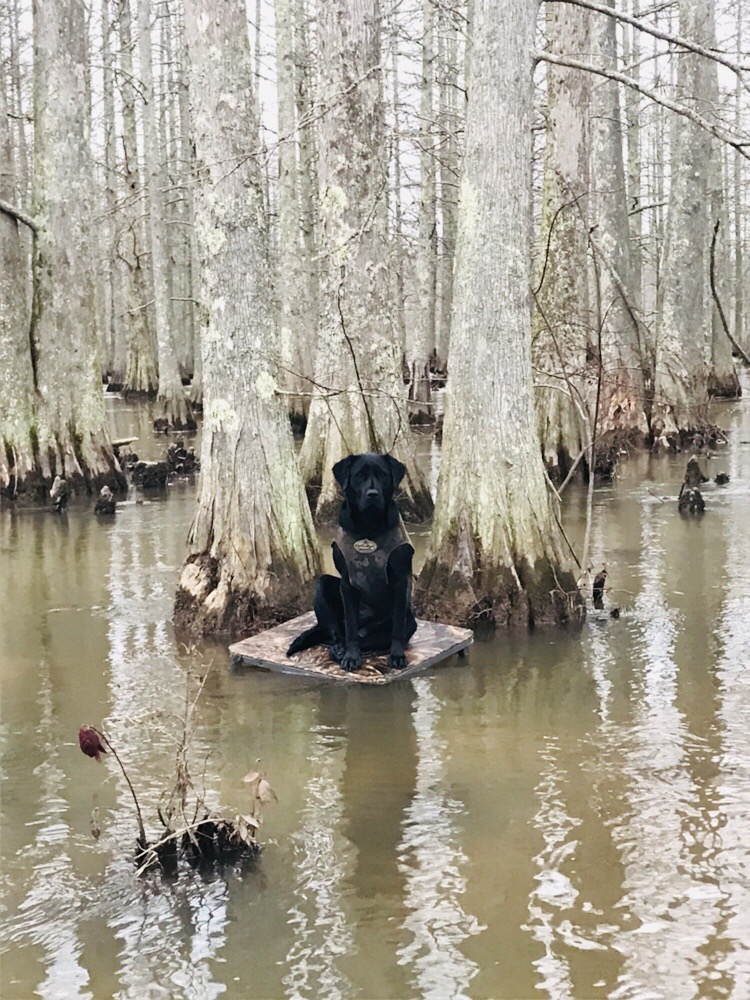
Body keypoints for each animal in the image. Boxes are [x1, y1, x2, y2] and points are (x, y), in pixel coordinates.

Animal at [286, 454, 418, 672]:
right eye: (359, 475)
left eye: (382, 475)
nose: (372, 494)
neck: (369, 526)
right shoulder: (347, 582)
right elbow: (350, 626)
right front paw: (351, 656)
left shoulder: (400, 579)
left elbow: (397, 627)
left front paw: (397, 656)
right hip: (323, 585)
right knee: (337, 633)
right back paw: (340, 650)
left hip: (410, 621)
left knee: (378, 636)